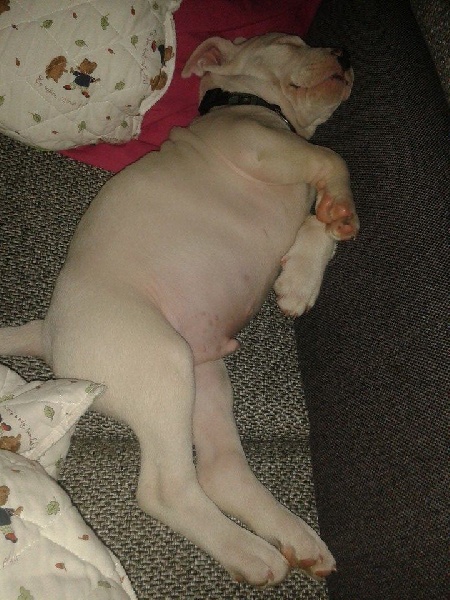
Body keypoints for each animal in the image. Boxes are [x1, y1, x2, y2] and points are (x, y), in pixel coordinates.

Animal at [0, 33, 358, 586]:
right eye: (290, 43)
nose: (344, 55)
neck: (259, 106)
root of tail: (46, 332)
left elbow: (319, 219)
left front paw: (301, 279)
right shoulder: (259, 147)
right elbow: (333, 160)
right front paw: (341, 212)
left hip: (205, 377)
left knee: (220, 471)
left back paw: (296, 539)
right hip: (163, 364)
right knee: (167, 488)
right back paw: (249, 552)